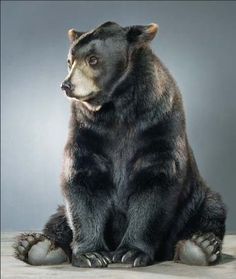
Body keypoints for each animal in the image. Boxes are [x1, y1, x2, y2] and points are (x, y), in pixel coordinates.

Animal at [13, 20, 227, 268]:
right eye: (69, 61)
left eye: (93, 59)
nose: (66, 85)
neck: (117, 110)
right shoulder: (88, 133)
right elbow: (83, 185)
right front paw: (91, 254)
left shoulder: (159, 127)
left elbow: (155, 184)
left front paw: (131, 252)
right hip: (61, 212)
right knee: (58, 219)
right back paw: (38, 247)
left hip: (196, 199)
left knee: (211, 209)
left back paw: (200, 246)